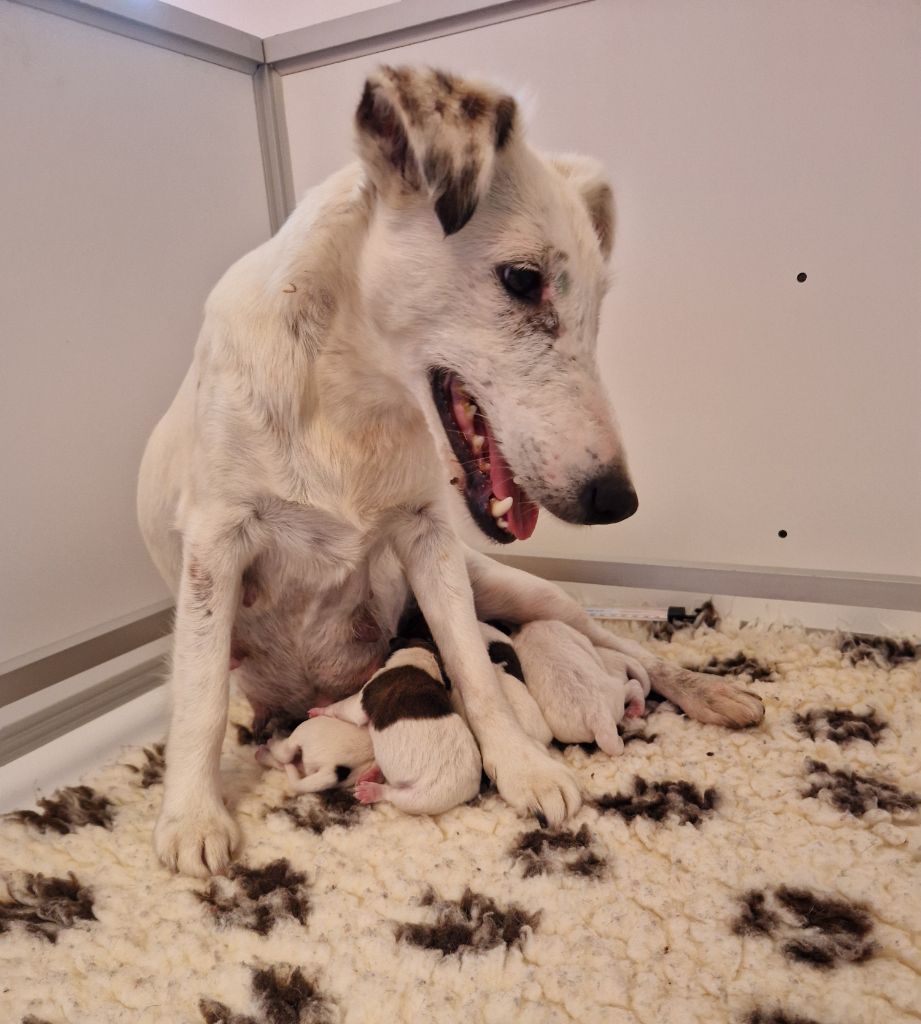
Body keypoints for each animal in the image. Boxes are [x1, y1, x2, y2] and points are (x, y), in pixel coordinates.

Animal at [309, 647, 483, 815]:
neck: (419, 660)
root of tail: (469, 791)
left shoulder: (361, 702)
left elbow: (340, 707)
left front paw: (320, 710)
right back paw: (372, 775)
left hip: (419, 798)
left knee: (392, 795)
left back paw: (371, 791)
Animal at [512, 614, 647, 753]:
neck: (526, 629)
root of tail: (598, 715)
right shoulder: (572, 632)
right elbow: (589, 646)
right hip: (617, 694)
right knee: (634, 686)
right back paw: (635, 709)